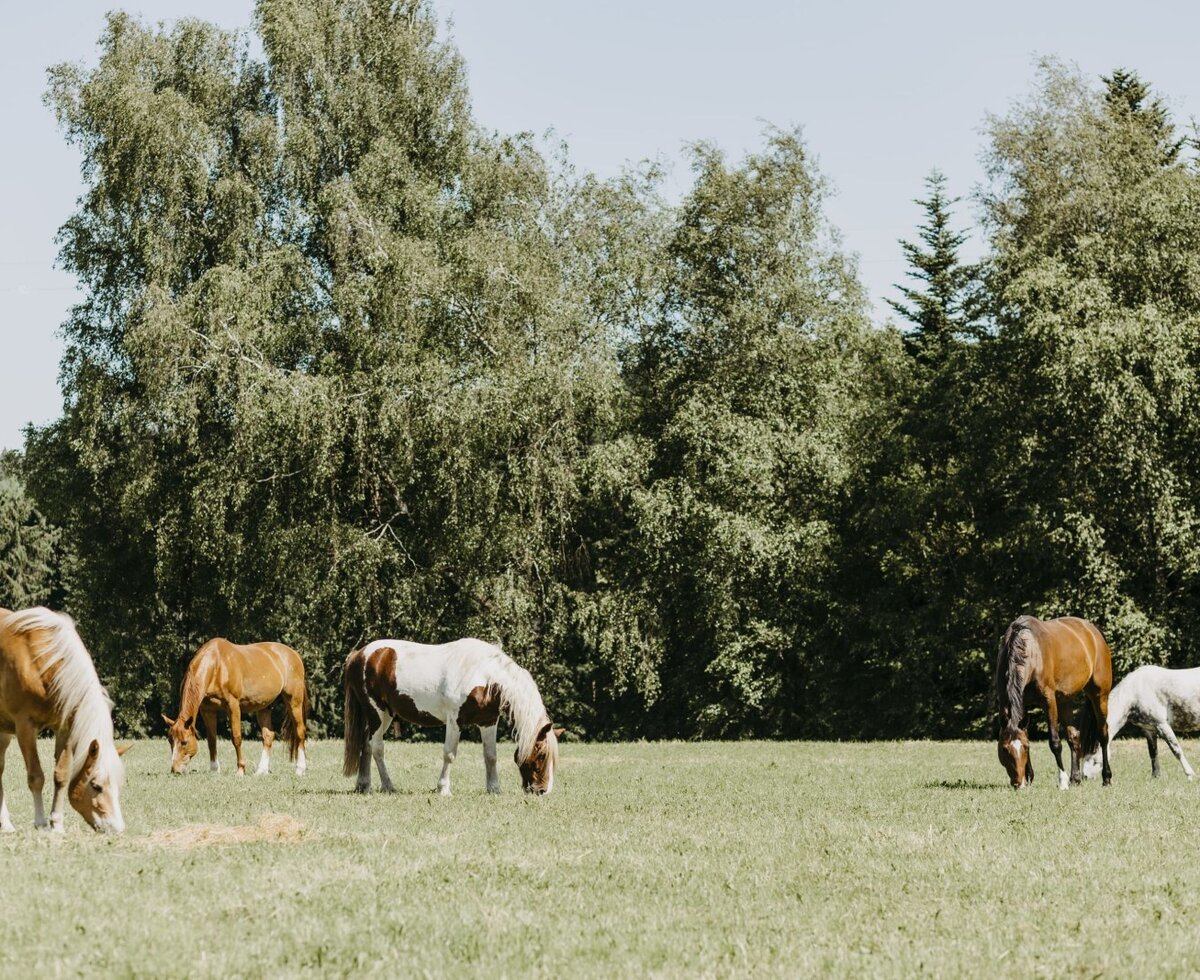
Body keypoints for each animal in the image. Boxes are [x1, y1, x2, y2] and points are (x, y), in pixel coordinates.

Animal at [0, 607, 127, 832]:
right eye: (96, 785)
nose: (117, 828)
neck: (38, 661)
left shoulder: (65, 728)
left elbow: (61, 775)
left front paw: (57, 824)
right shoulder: (25, 727)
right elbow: (36, 776)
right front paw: (41, 822)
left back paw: (5, 823)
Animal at [163, 639, 309, 776]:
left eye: (184, 742)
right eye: (170, 741)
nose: (175, 770)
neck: (216, 665)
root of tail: (294, 654)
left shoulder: (233, 705)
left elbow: (236, 737)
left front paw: (240, 770)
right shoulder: (207, 710)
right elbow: (212, 739)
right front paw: (214, 769)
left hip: (294, 701)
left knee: (300, 732)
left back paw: (300, 769)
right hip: (264, 706)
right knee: (268, 736)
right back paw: (261, 770)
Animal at [343, 637, 562, 796]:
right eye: (542, 755)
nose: (543, 791)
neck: (484, 676)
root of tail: (359, 654)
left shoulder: (488, 722)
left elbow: (490, 756)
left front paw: (494, 789)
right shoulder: (455, 721)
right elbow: (449, 754)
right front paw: (444, 789)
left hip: (380, 716)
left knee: (366, 745)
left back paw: (364, 785)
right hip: (378, 713)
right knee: (377, 748)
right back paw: (388, 786)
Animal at [995, 615, 1113, 789]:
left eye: (1024, 748)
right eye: (1004, 749)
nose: (1019, 783)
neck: (1031, 651)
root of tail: (1094, 632)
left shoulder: (1049, 701)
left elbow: (1055, 742)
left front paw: (1062, 781)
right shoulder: (1016, 704)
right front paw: (1029, 778)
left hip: (1099, 696)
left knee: (1103, 734)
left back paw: (1106, 778)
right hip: (1065, 701)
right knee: (1074, 737)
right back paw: (1075, 779)